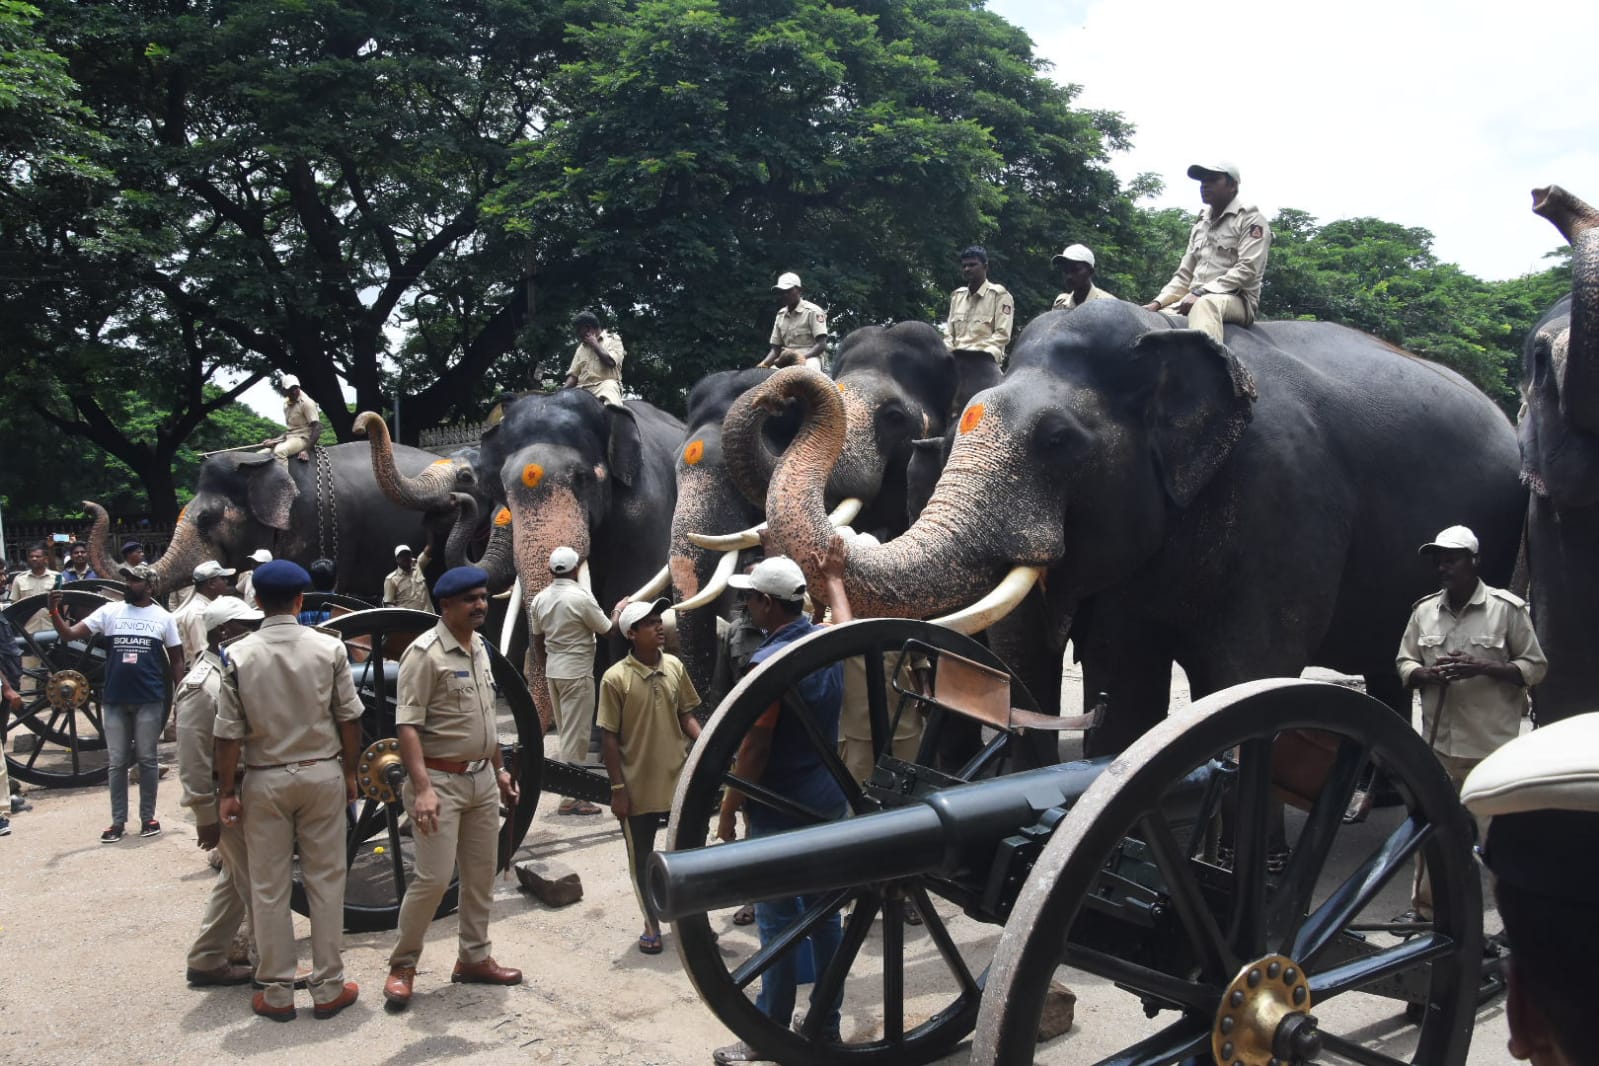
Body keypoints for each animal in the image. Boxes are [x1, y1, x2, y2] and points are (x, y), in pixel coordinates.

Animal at [745, 295, 1522, 754]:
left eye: (1057, 440)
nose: (790, 378)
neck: (1165, 339)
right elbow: (1125, 665)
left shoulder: (1290, 504)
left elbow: (1249, 671)